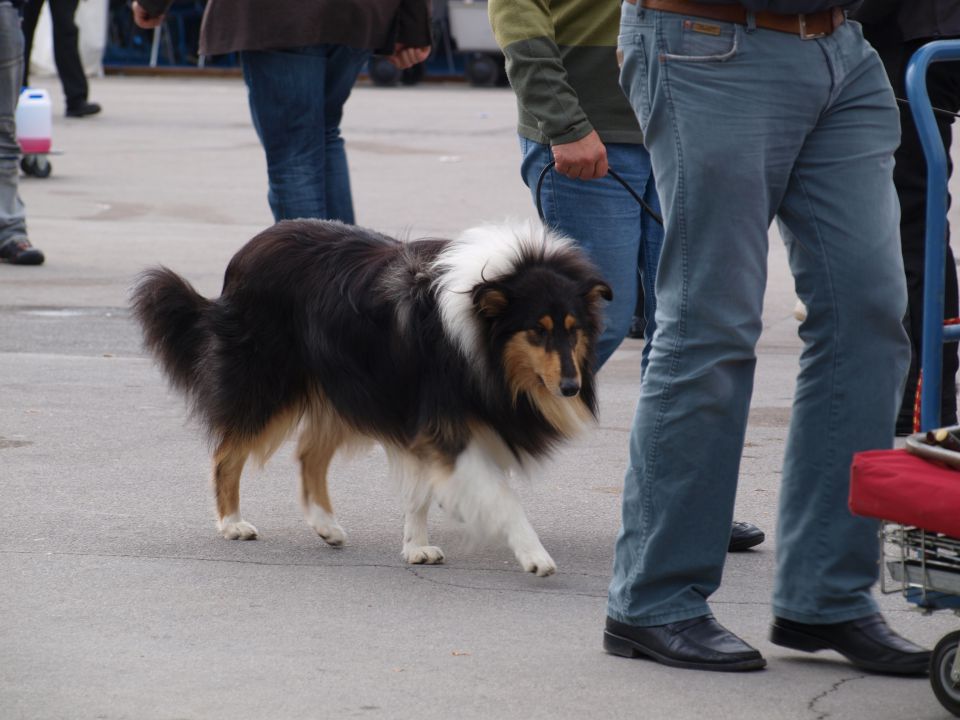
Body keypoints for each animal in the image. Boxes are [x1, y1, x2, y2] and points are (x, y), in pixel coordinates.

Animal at [131, 219, 612, 572]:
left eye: (573, 330)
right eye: (537, 331)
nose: (570, 387)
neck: (479, 327)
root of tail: (245, 253)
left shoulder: (423, 418)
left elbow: (420, 492)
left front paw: (416, 546)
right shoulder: (444, 422)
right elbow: (502, 498)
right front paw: (535, 555)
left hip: (345, 388)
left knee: (309, 454)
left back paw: (326, 526)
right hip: (270, 385)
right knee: (227, 454)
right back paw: (232, 524)